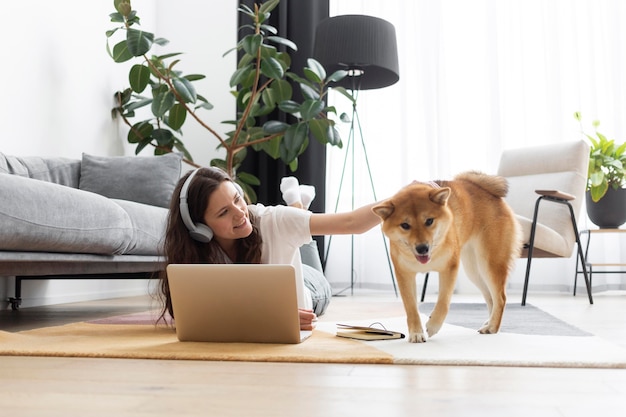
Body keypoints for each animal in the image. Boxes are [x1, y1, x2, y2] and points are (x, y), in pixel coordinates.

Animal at [372, 171, 520, 342]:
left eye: (429, 221)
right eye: (405, 225)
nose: (422, 248)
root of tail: (489, 192)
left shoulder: (449, 268)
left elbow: (443, 302)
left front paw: (433, 326)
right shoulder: (404, 274)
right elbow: (411, 308)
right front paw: (416, 333)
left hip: (489, 263)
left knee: (500, 298)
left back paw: (493, 327)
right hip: (474, 270)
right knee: (491, 298)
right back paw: (489, 324)